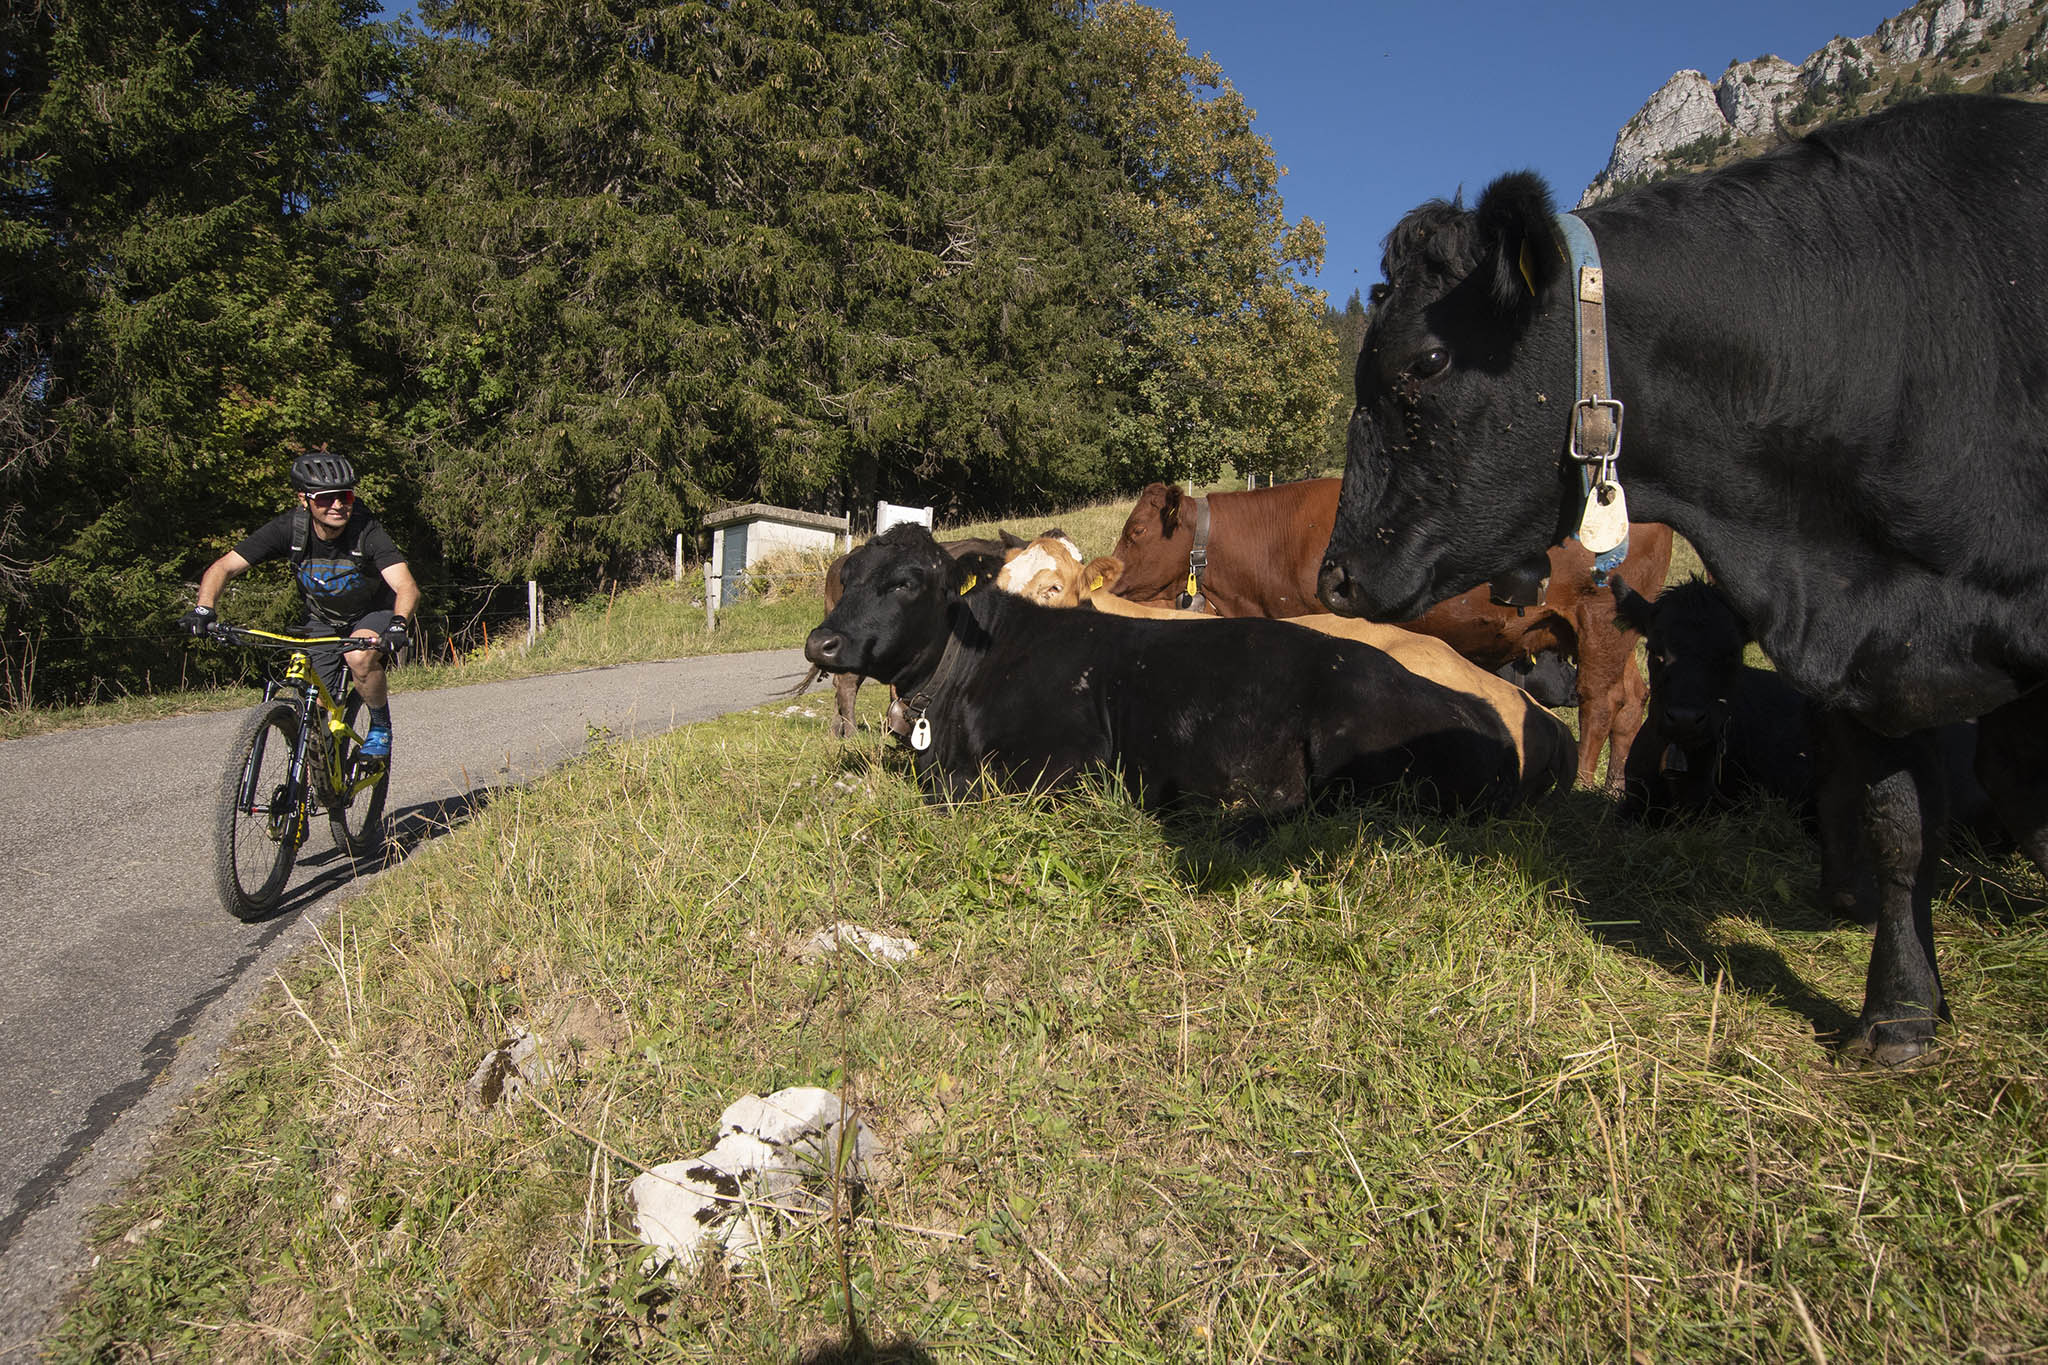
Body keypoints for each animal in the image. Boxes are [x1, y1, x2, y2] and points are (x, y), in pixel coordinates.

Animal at [1114, 480, 1671, 789]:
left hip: (1597, 620)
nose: (1110, 580)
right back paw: (1615, 785)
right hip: (1609, 632)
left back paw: (1585, 782)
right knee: (1633, 698)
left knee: (1601, 701)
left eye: (1136, 532)